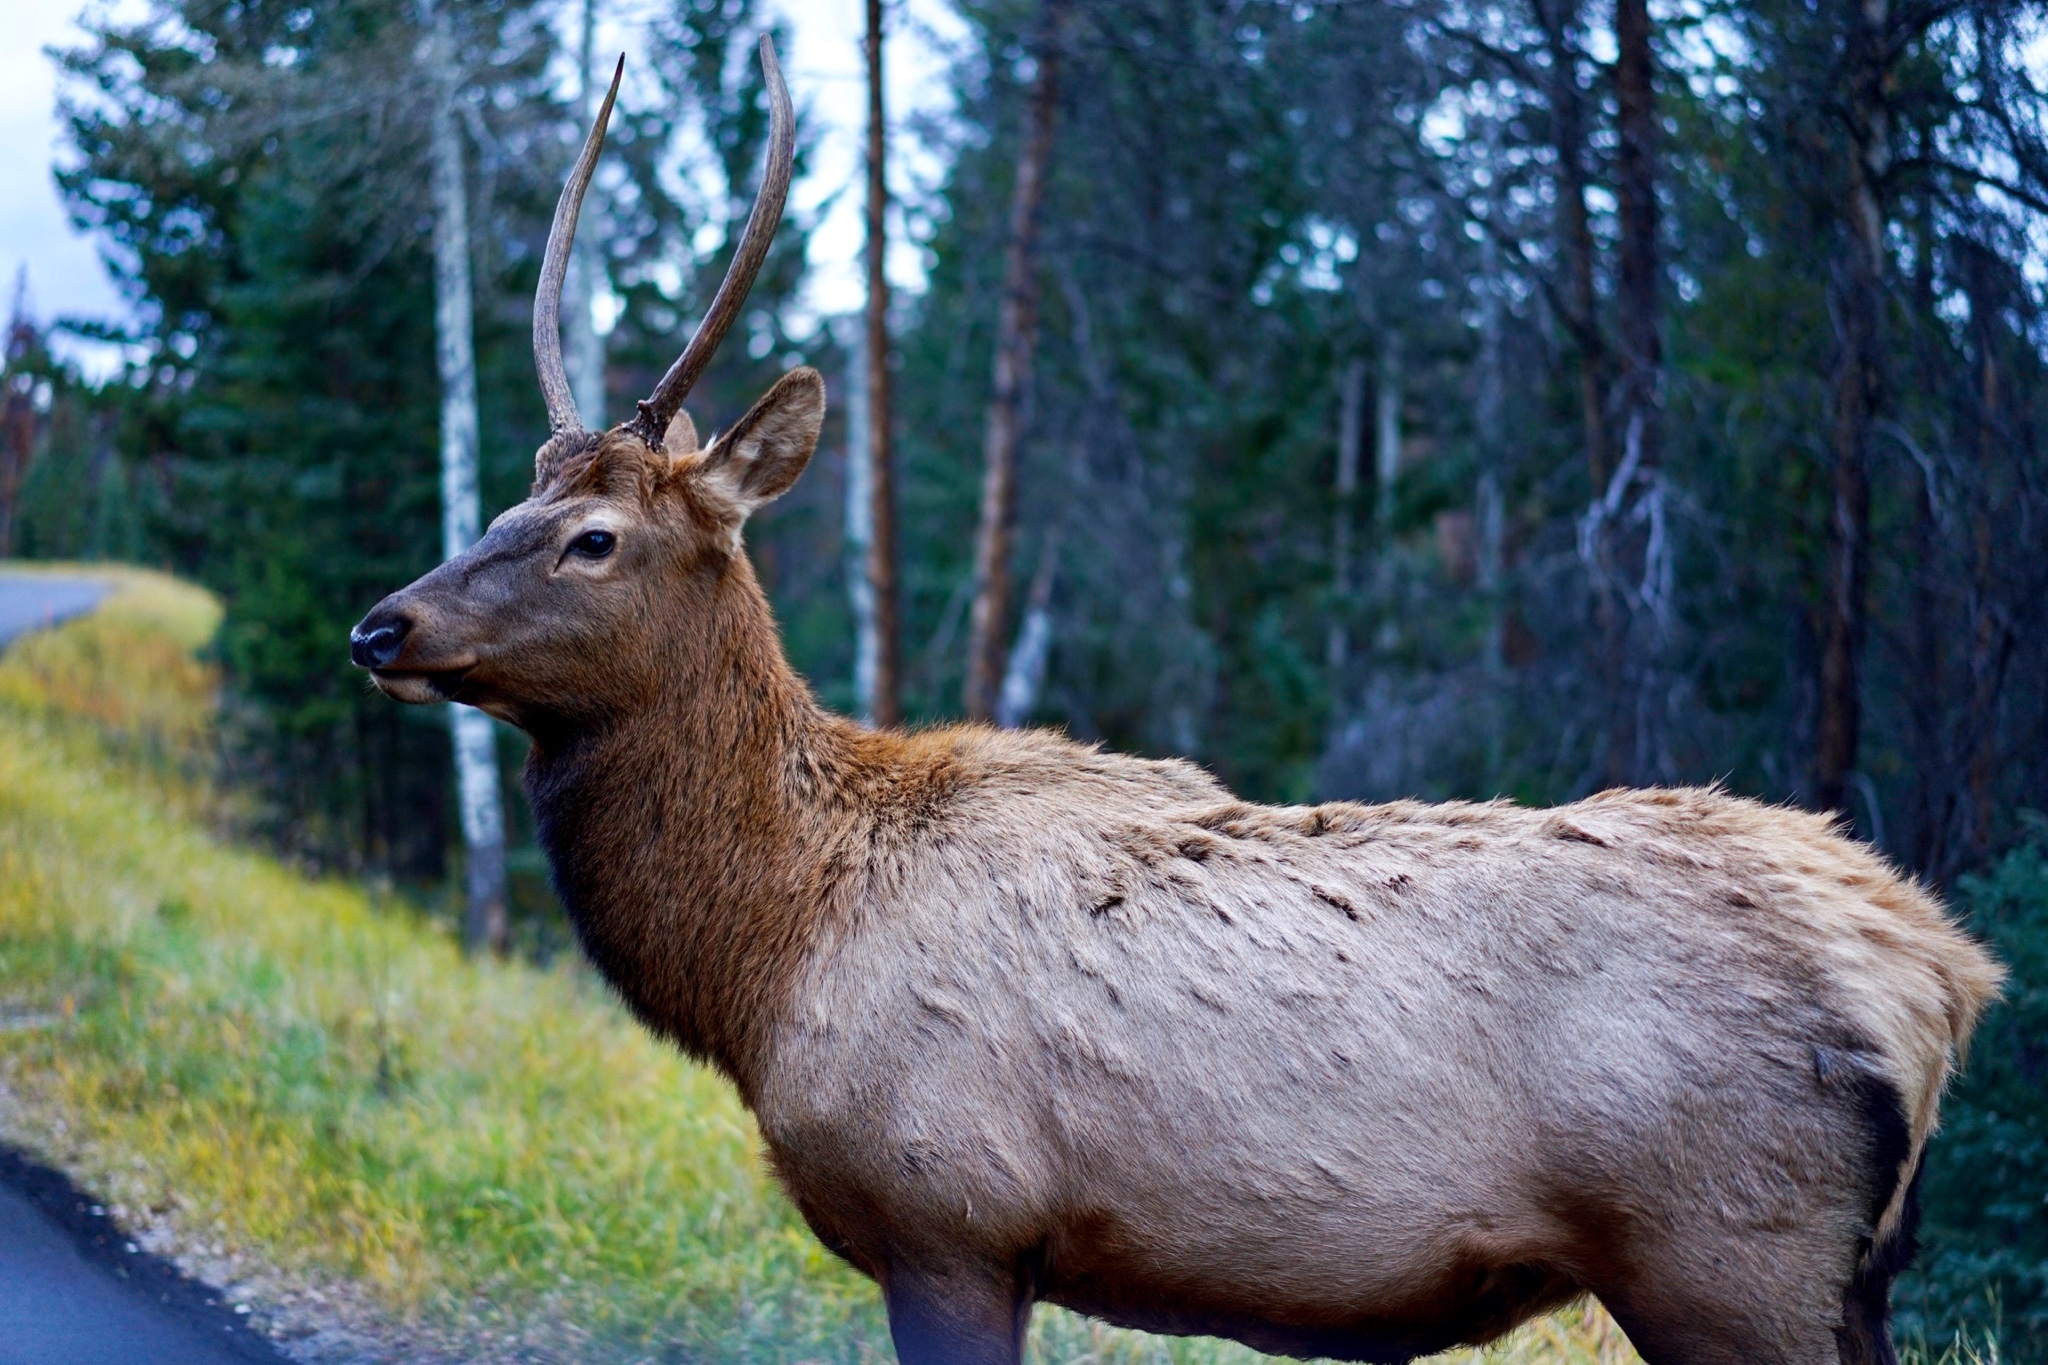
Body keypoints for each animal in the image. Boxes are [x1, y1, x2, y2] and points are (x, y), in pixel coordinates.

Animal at [352, 37, 1998, 1358]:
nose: (383, 623)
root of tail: (1939, 976)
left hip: (1726, 1255)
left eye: (592, 537)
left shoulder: (950, 1215)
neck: (768, 952)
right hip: (1832, 1277)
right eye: (503, 498)